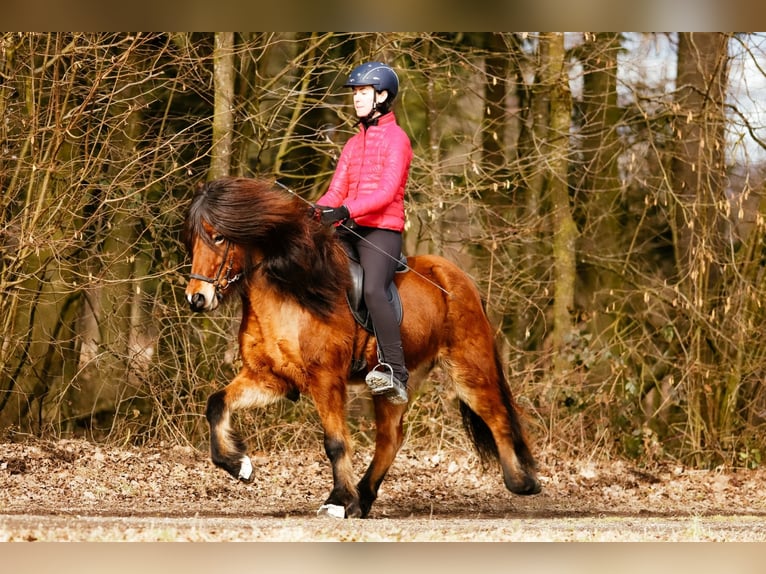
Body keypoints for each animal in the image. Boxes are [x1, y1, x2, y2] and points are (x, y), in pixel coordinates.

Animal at [183, 176, 541, 518]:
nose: (196, 298)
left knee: (496, 416)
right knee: (391, 439)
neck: (291, 292)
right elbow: (216, 404)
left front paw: (338, 501)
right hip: (397, 383)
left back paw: (522, 483)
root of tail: (461, 280)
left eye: (218, 237)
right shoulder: (271, 378)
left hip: (469, 367)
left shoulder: (326, 379)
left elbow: (335, 442)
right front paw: (239, 465)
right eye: (193, 239)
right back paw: (365, 498)